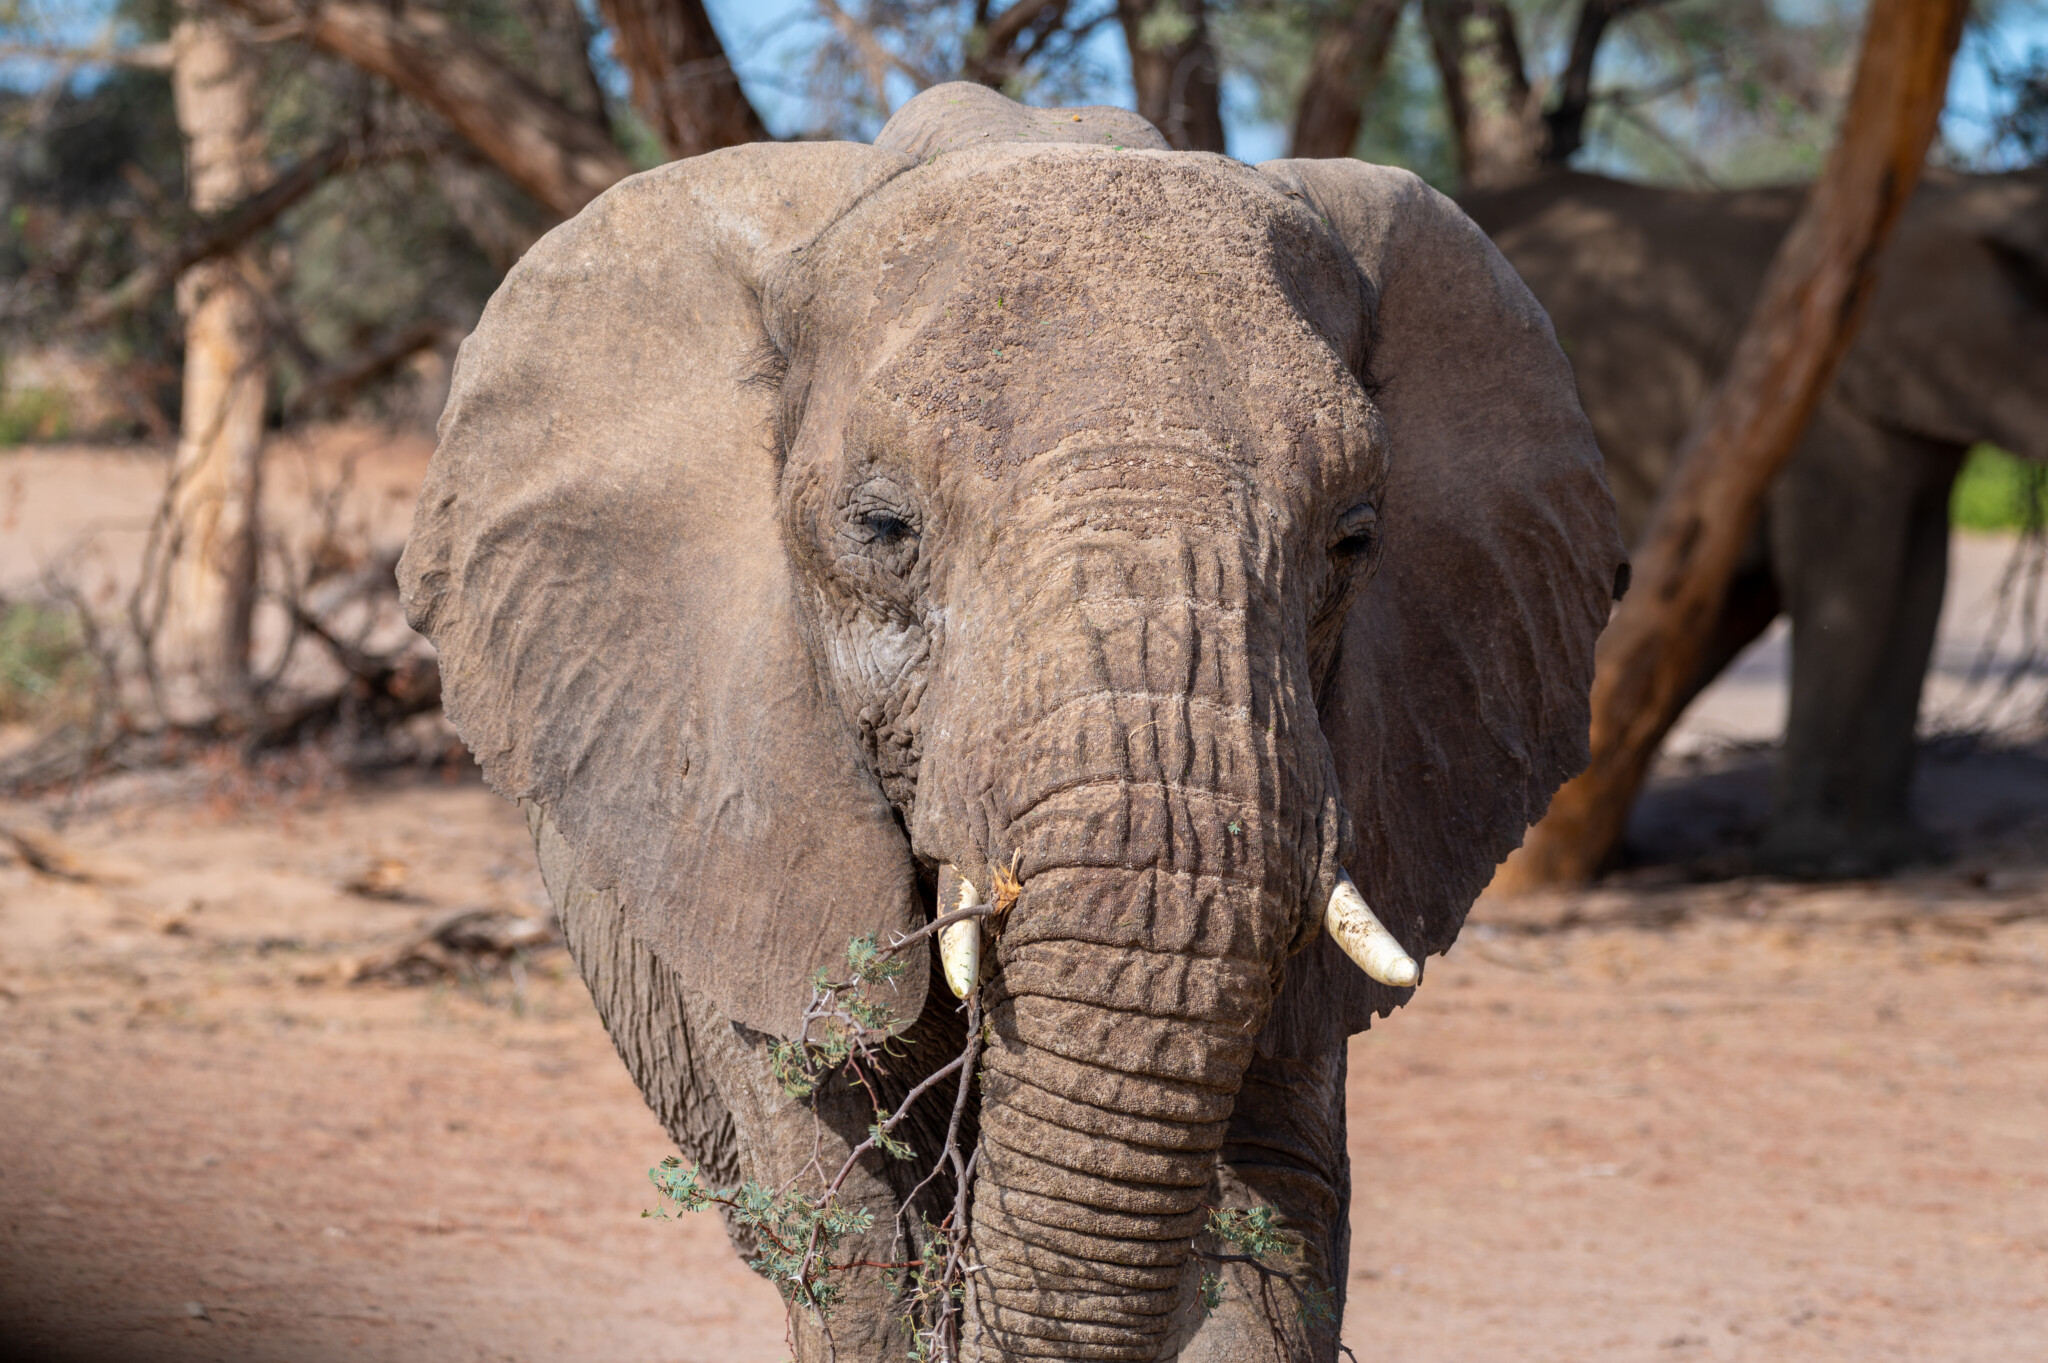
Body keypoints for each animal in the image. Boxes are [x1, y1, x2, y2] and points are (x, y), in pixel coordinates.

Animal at [1466, 166, 2048, 871]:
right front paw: (1813, 864)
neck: (1964, 188)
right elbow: (1849, 583)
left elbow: (1922, 587)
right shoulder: (1827, 404)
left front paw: (1905, 854)